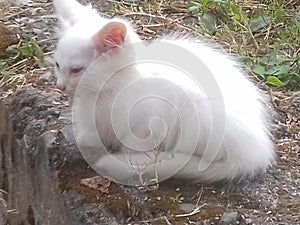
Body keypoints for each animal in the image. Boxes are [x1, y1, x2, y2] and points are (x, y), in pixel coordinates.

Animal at [53, 0, 274, 185]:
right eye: (57, 65)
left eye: (76, 70)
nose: (60, 86)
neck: (104, 92)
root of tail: (256, 151)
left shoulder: (147, 124)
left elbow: (133, 145)